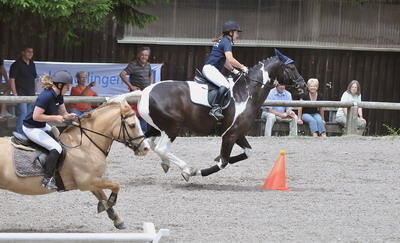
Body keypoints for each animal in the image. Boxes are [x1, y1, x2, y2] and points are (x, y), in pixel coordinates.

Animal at [0, 92, 149, 229]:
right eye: (132, 125)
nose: (145, 148)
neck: (86, 146)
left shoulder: (93, 181)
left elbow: (102, 195)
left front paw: (115, 218)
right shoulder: (87, 182)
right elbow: (115, 186)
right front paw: (107, 205)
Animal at [138, 49, 306, 180]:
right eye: (291, 67)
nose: (303, 85)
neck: (246, 93)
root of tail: (146, 92)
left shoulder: (238, 133)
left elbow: (248, 152)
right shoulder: (230, 135)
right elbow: (223, 162)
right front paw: (197, 171)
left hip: (158, 127)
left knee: (150, 144)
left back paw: (166, 163)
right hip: (172, 127)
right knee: (161, 148)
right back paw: (187, 169)